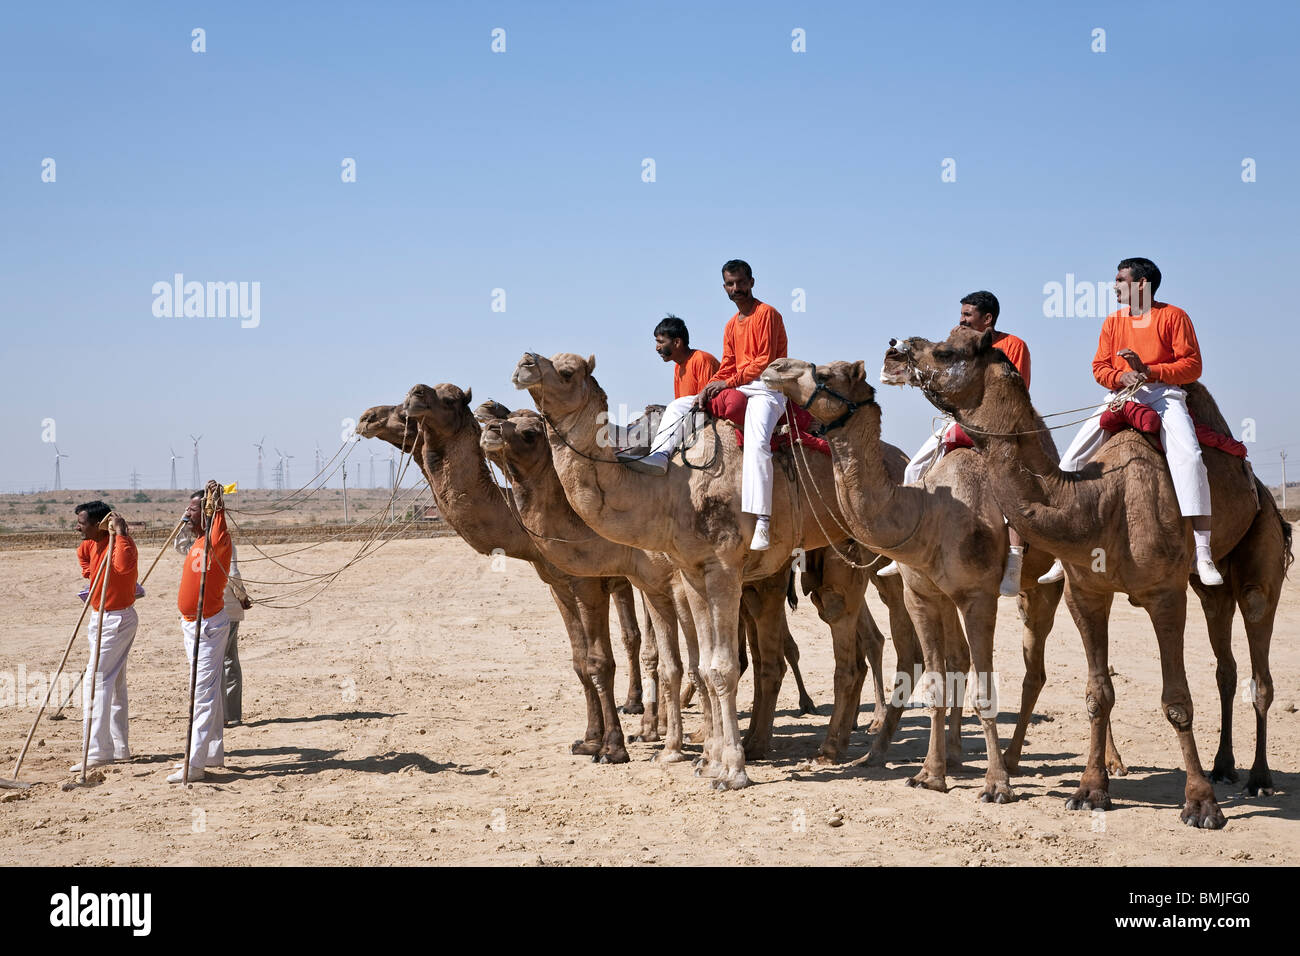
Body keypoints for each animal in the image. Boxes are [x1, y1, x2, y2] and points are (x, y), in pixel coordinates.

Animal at [356, 395, 644, 764]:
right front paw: (589, 741)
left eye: (409, 409)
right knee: (636, 634)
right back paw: (638, 705)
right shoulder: (558, 585)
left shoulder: (588, 583)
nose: (368, 417)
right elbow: (580, 662)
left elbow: (599, 662)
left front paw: (612, 749)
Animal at [509, 348, 925, 785]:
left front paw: (732, 771)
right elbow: (704, 667)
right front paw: (708, 759)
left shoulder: (723, 566)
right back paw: (852, 745)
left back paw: (840, 750)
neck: (671, 489)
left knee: (859, 640)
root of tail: (901, 459)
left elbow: (722, 667)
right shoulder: (691, 571)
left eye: (567, 372)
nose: (525, 363)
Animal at [759, 356, 1076, 801]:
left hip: (1050, 581)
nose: (775, 366)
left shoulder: (979, 596)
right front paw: (930, 774)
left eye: (825, 373)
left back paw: (1042, 764)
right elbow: (936, 682)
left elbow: (984, 690)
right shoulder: (923, 596)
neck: (929, 514)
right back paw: (963, 756)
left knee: (1046, 666)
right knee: (968, 658)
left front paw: (996, 785)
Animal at [883, 325, 1289, 827]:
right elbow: (1099, 692)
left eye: (945, 351)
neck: (1101, 502)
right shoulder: (1085, 590)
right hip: (1207, 582)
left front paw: (1200, 805)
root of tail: (1263, 493)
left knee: (1259, 653)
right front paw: (1090, 791)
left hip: (1259, 550)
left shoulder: (1165, 593)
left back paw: (1259, 778)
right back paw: (1223, 766)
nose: (895, 348)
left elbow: (1176, 700)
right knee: (1225, 662)